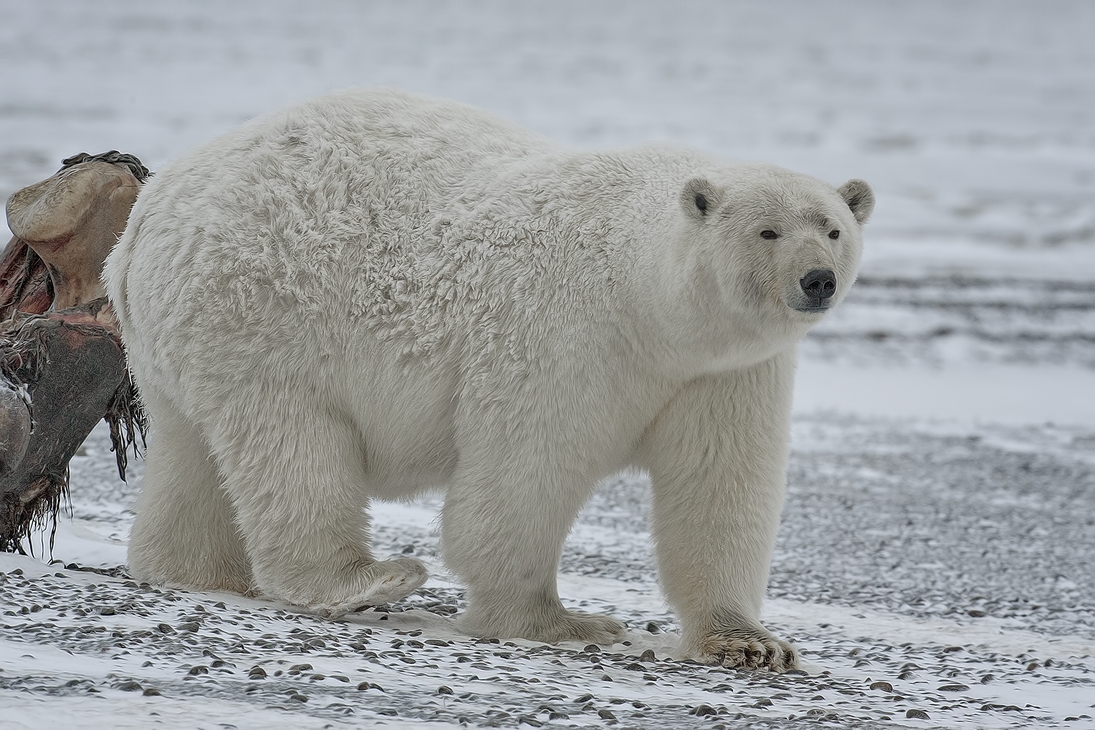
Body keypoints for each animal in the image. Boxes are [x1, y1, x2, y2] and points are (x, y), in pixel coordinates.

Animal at [102, 87, 871, 674]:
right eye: (768, 231)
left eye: (832, 228)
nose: (817, 281)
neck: (648, 303)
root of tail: (144, 216)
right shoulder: (566, 331)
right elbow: (523, 472)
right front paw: (562, 621)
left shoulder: (724, 372)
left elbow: (719, 487)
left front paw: (750, 642)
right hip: (260, 312)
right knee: (293, 445)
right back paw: (368, 578)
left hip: (177, 341)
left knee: (193, 454)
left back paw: (193, 570)